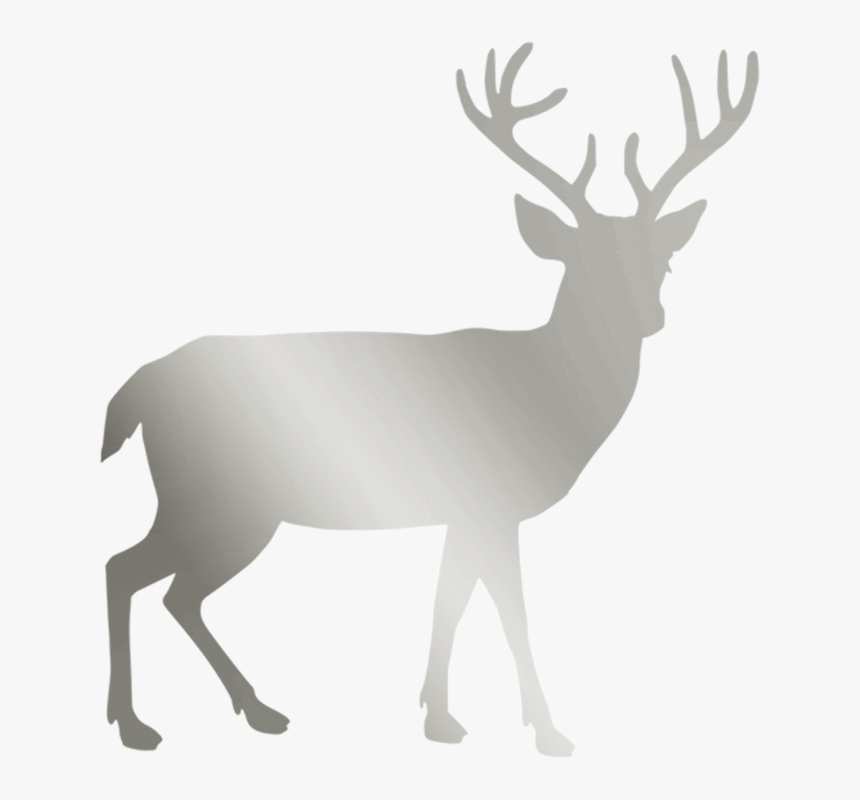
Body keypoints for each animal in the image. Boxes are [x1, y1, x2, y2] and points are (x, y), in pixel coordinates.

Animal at [102, 43, 758, 756]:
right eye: (579, 264)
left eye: (661, 262)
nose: (647, 317)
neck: (545, 396)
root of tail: (136, 386)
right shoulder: (494, 503)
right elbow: (509, 612)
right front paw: (549, 731)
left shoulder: (464, 512)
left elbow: (449, 602)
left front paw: (440, 718)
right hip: (218, 501)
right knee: (129, 572)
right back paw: (137, 724)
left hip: (223, 508)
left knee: (173, 593)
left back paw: (254, 709)